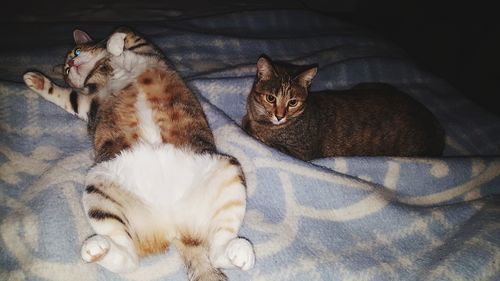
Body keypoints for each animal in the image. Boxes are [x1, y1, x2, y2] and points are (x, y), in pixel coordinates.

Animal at [23, 26, 254, 280]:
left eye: (76, 51)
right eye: (65, 70)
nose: (71, 64)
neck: (103, 68)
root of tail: (175, 228)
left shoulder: (146, 48)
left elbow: (121, 34)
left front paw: (113, 46)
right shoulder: (87, 101)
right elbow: (65, 96)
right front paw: (35, 80)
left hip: (227, 171)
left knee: (217, 250)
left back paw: (239, 250)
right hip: (101, 189)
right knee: (130, 260)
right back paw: (97, 249)